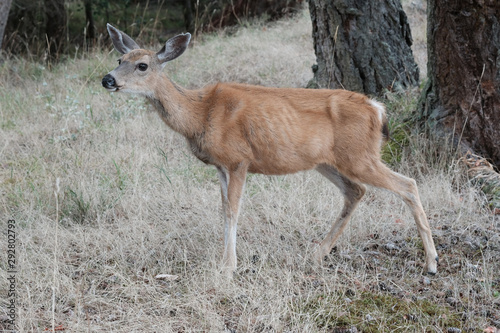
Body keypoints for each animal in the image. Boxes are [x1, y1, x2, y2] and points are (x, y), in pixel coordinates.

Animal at [101, 24, 438, 276]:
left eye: (142, 65)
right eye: (119, 60)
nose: (107, 79)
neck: (200, 114)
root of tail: (377, 109)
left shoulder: (239, 159)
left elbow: (233, 210)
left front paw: (228, 267)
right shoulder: (221, 165)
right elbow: (223, 210)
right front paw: (225, 261)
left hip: (359, 155)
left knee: (407, 184)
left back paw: (432, 262)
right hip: (328, 161)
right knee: (356, 191)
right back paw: (317, 255)